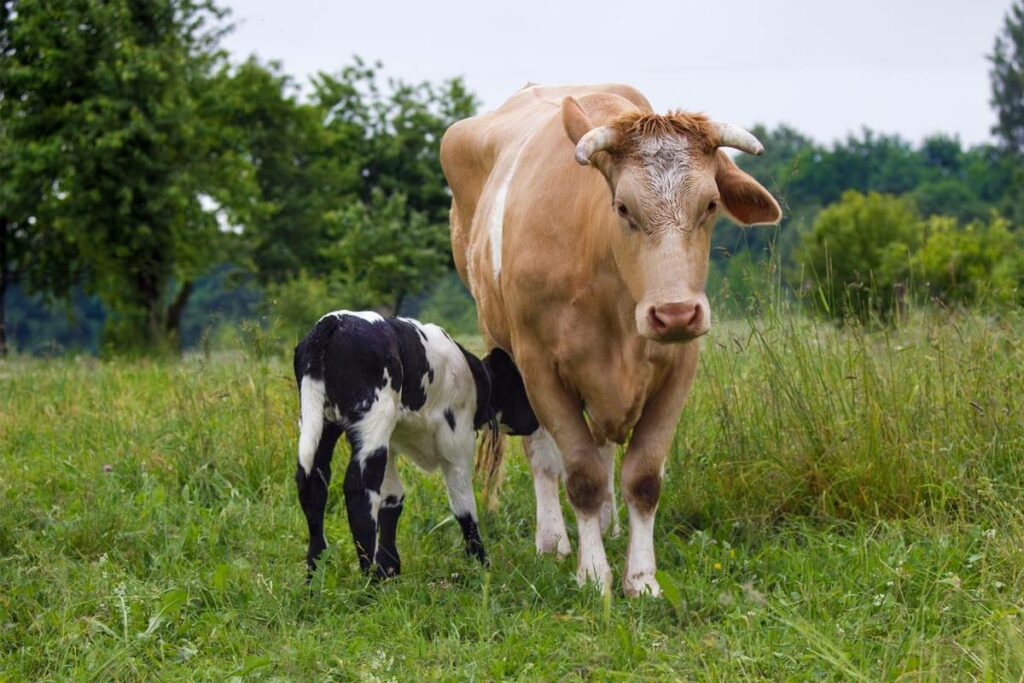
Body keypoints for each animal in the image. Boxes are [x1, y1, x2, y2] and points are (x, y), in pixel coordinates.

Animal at [294, 313, 540, 581]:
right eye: (521, 383)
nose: (537, 419)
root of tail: (334, 322)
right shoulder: (457, 446)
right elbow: (464, 507)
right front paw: (481, 568)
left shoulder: (391, 443)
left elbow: (392, 498)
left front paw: (390, 569)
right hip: (373, 421)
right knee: (359, 489)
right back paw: (369, 580)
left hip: (322, 423)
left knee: (312, 486)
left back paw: (314, 576)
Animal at [436, 82, 778, 593]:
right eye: (622, 207)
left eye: (710, 205)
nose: (675, 313)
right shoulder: (541, 370)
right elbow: (580, 475)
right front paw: (593, 573)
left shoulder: (679, 370)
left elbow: (643, 478)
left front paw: (641, 577)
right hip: (506, 352)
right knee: (544, 456)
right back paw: (554, 541)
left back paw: (605, 523)